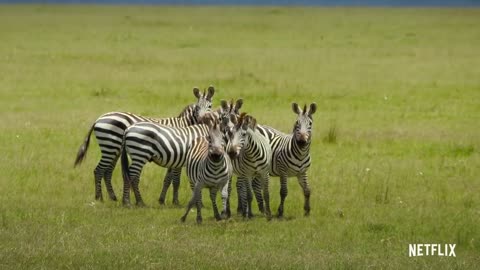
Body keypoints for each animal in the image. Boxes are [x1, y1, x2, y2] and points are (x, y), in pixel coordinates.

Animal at [73, 85, 214, 201]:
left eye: (210, 106)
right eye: (197, 107)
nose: (203, 119)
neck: (184, 124)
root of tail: (99, 118)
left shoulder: (173, 155)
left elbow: (167, 179)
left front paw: (162, 200)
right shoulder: (176, 154)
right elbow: (175, 180)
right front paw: (173, 201)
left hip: (114, 150)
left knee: (107, 172)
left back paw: (113, 197)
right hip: (110, 147)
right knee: (99, 170)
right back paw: (99, 198)